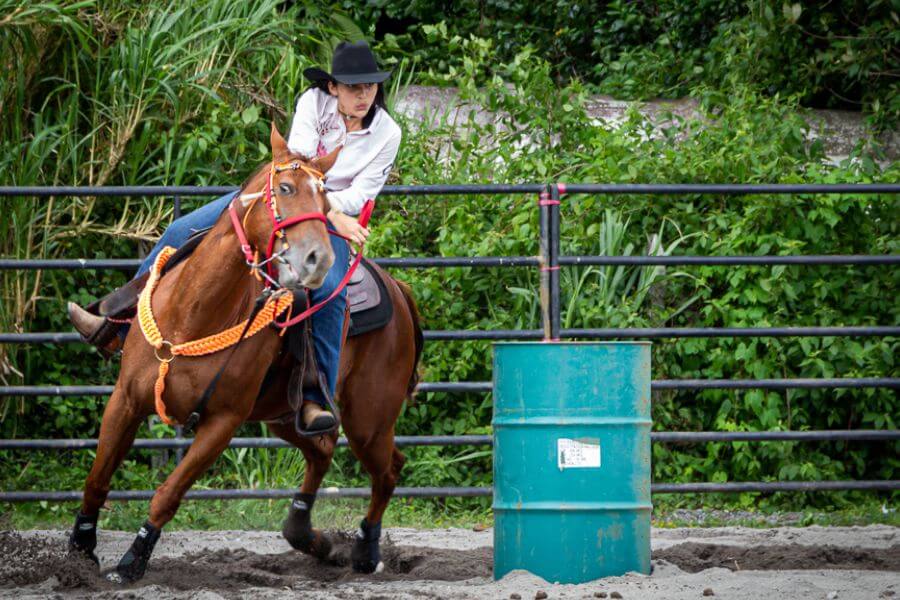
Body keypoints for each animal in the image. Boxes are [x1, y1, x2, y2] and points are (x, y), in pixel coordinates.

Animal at [67, 124, 426, 584]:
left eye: (325, 200)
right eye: (285, 188)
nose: (318, 259)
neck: (193, 313)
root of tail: (397, 290)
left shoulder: (223, 422)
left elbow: (168, 494)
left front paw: (132, 562)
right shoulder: (125, 400)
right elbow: (97, 479)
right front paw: (80, 550)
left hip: (369, 420)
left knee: (388, 469)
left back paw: (365, 551)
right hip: (284, 416)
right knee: (323, 449)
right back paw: (306, 535)